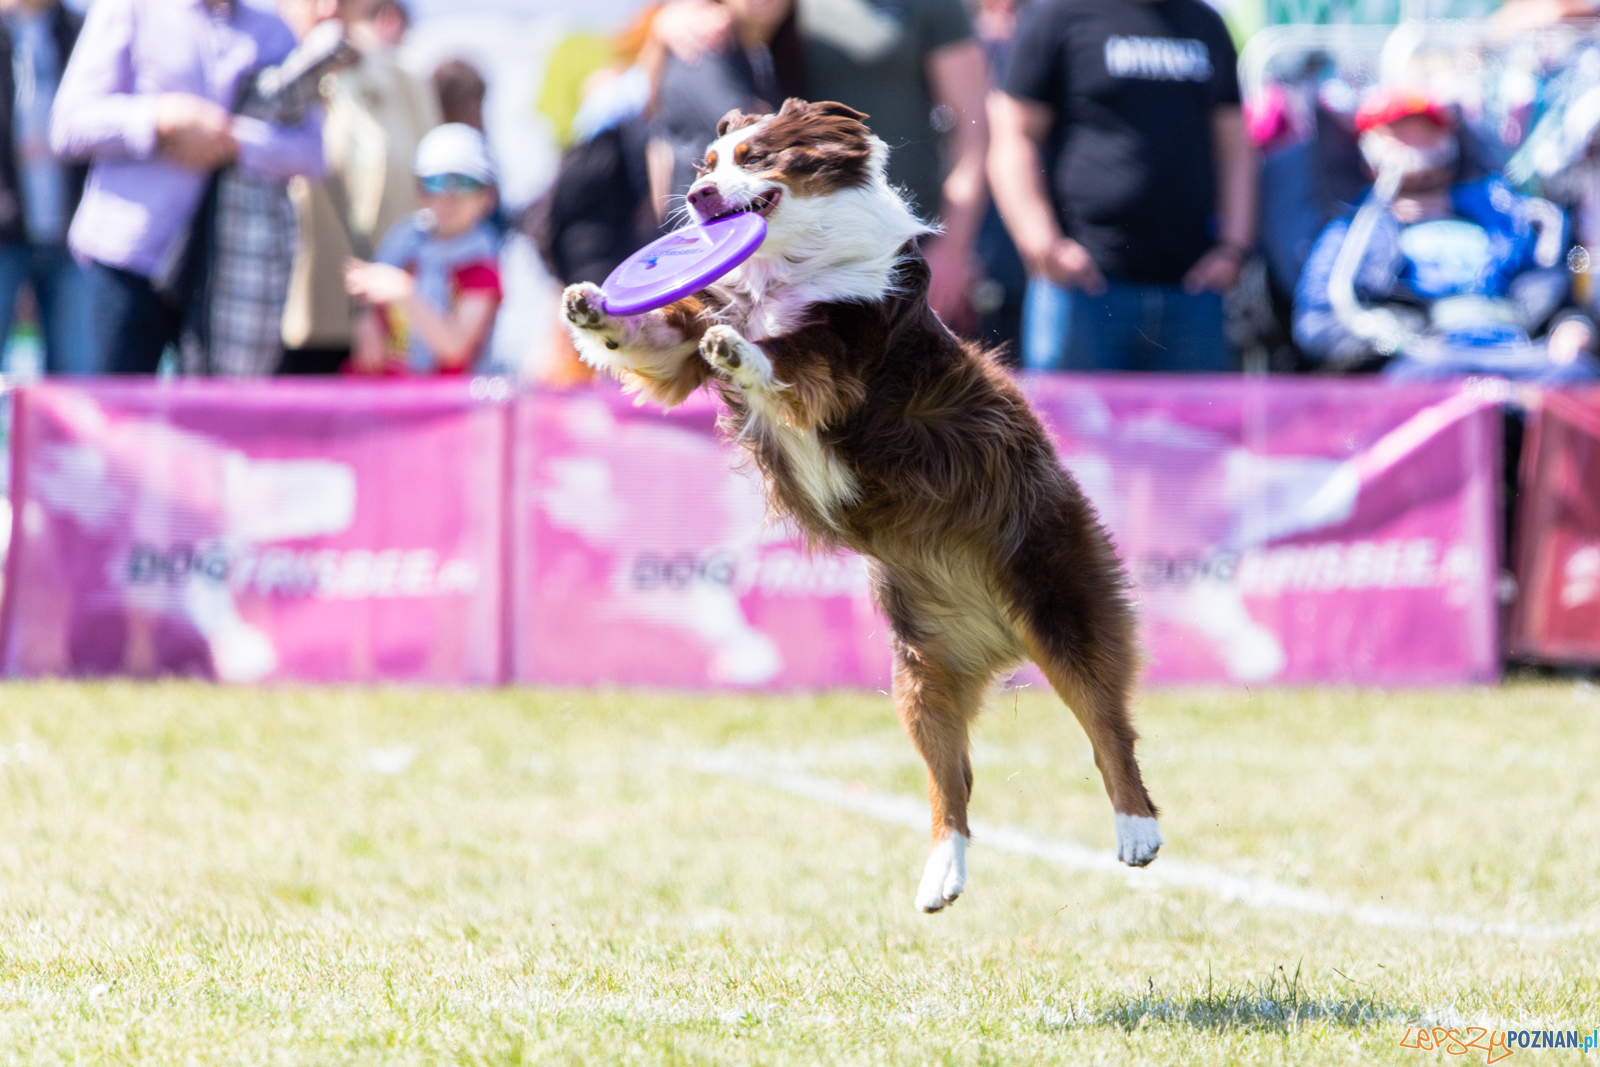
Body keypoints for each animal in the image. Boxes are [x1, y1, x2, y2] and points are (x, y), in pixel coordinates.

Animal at [563, 97, 1164, 908]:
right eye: (705, 164)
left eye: (754, 157)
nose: (696, 198)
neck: (783, 267)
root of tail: (1000, 634)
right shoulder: (680, 349)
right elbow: (651, 336)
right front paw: (591, 303)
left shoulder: (846, 349)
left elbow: (785, 361)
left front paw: (740, 349)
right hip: (919, 672)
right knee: (952, 781)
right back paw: (942, 872)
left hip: (1061, 602)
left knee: (1107, 725)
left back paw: (1137, 829)